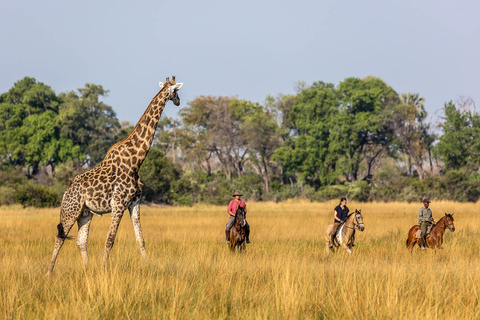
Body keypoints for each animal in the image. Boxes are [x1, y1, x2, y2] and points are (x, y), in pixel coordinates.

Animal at [46, 76, 184, 276]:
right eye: (176, 90)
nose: (178, 101)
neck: (136, 160)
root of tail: (66, 192)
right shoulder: (118, 203)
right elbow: (110, 238)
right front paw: (104, 269)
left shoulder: (134, 203)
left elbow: (140, 239)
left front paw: (149, 267)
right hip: (70, 210)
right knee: (60, 237)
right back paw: (49, 272)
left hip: (85, 213)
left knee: (81, 241)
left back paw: (87, 269)